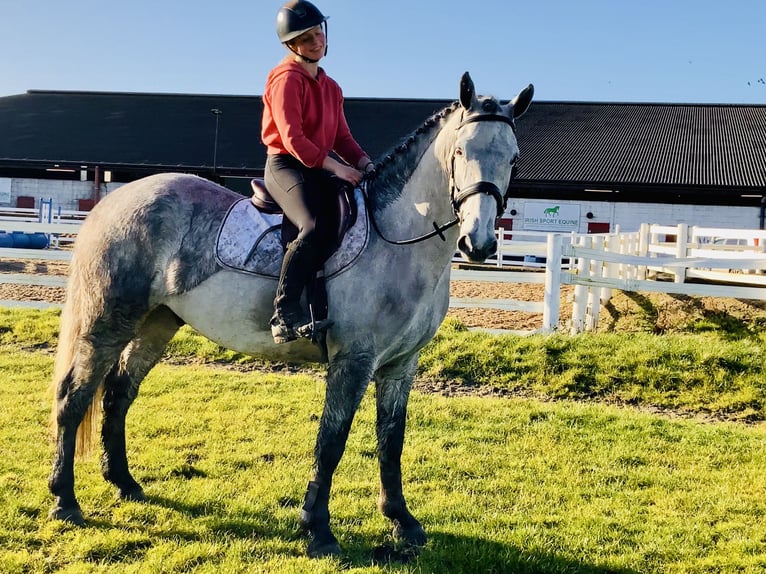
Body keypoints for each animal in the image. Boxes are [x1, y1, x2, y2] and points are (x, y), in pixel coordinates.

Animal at [48, 72, 533, 558]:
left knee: (118, 393)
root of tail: (115, 201)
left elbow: (391, 441)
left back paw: (124, 483)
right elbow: (332, 440)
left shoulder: (401, 365)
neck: (396, 238)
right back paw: (65, 501)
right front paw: (318, 529)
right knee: (74, 396)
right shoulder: (354, 360)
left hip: (157, 322)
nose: (479, 243)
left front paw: (402, 521)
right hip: (106, 321)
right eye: (460, 152)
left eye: (512, 158)